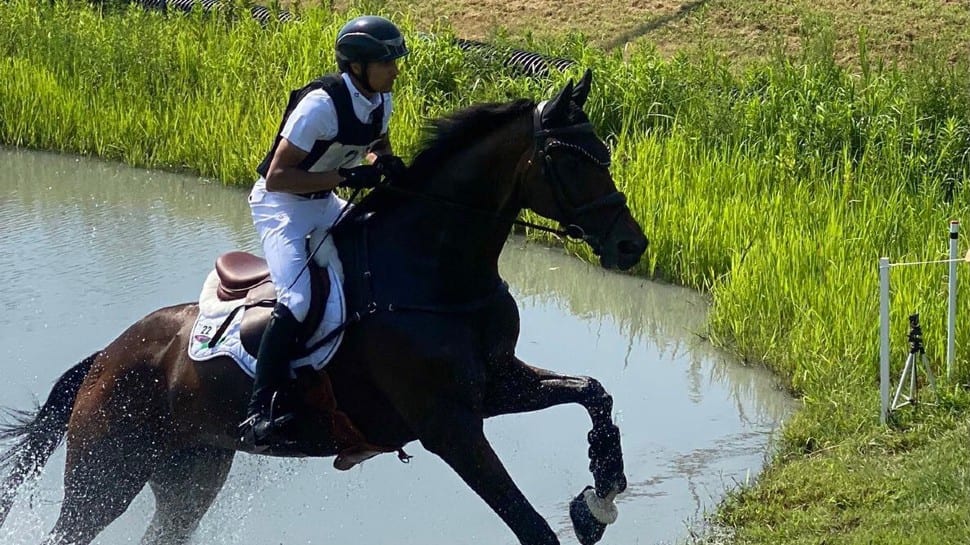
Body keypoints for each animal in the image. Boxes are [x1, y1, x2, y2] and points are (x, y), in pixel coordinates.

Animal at [1, 70, 652, 540]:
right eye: (572, 159)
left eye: (603, 153)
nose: (632, 245)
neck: (436, 271)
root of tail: (107, 356)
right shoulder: (448, 425)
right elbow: (532, 526)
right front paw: (590, 507)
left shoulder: (497, 387)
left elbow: (594, 392)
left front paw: (599, 499)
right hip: (109, 470)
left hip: (191, 471)